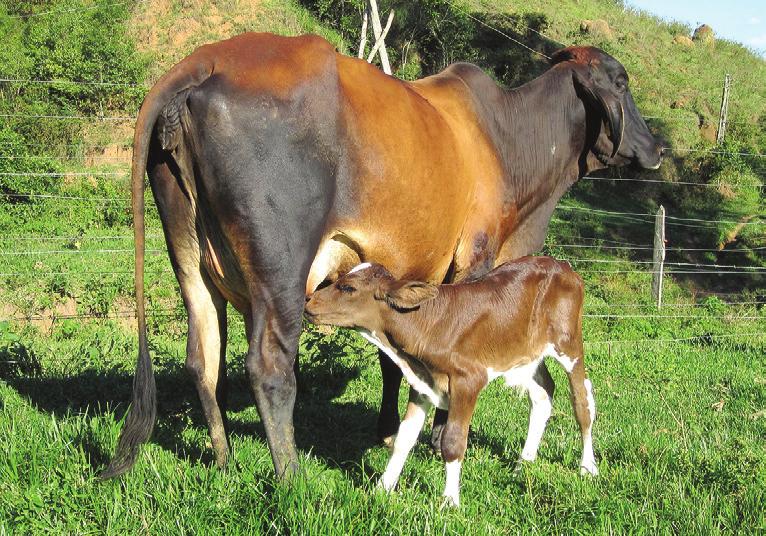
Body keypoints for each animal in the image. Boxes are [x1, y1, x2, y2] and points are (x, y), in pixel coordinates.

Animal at [102, 32, 664, 478]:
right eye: (621, 82)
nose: (657, 148)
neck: (507, 140)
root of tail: (207, 59)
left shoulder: (401, 272)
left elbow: (393, 358)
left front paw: (391, 430)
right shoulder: (474, 257)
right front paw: (437, 435)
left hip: (190, 258)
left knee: (204, 359)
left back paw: (225, 462)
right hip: (280, 268)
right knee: (268, 364)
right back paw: (291, 477)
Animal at [306, 258, 600, 506]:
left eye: (348, 287)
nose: (309, 303)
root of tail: (561, 264)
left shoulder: (468, 380)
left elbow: (453, 442)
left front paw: (450, 501)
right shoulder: (423, 383)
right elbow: (404, 438)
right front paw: (383, 487)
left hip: (569, 343)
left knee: (582, 403)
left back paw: (587, 466)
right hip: (526, 353)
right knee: (542, 395)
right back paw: (523, 463)